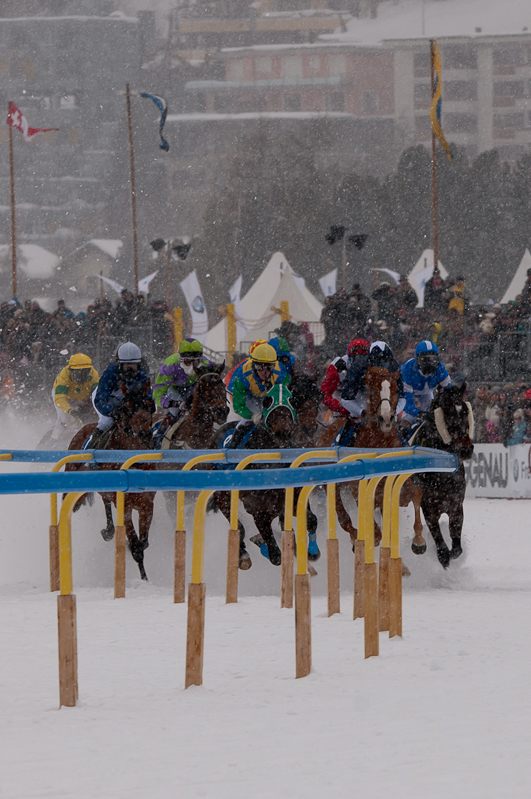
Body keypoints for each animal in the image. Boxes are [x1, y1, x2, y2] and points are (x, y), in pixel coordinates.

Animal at [67, 390, 157, 580]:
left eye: (148, 412)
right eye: (130, 414)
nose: (147, 436)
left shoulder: (147, 503)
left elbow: (143, 542)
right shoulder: (125, 506)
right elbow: (136, 547)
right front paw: (144, 578)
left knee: (105, 501)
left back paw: (108, 530)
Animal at [318, 368, 426, 556]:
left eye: (396, 390)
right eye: (374, 390)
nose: (386, 418)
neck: (380, 444)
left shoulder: (399, 485)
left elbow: (416, 493)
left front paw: (419, 540)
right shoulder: (360, 490)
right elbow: (375, 532)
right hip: (332, 486)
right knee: (343, 517)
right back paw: (354, 537)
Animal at [410, 382, 476, 564]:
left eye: (466, 412)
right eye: (448, 413)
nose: (466, 449)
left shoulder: (456, 505)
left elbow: (457, 547)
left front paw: (454, 552)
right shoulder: (428, 506)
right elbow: (438, 539)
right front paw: (442, 554)